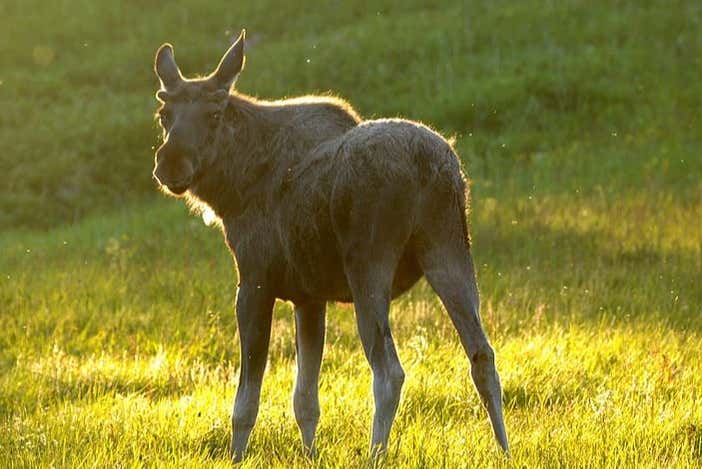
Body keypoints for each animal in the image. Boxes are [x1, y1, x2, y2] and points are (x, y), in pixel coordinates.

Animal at [154, 31, 508, 462]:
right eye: (164, 114)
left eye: (214, 114)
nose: (171, 162)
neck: (230, 193)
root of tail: (432, 168)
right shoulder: (309, 297)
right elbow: (305, 400)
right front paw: (310, 456)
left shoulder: (254, 282)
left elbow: (246, 402)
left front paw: (236, 458)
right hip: (449, 247)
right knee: (482, 355)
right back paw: (505, 452)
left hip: (369, 265)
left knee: (389, 371)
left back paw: (375, 455)